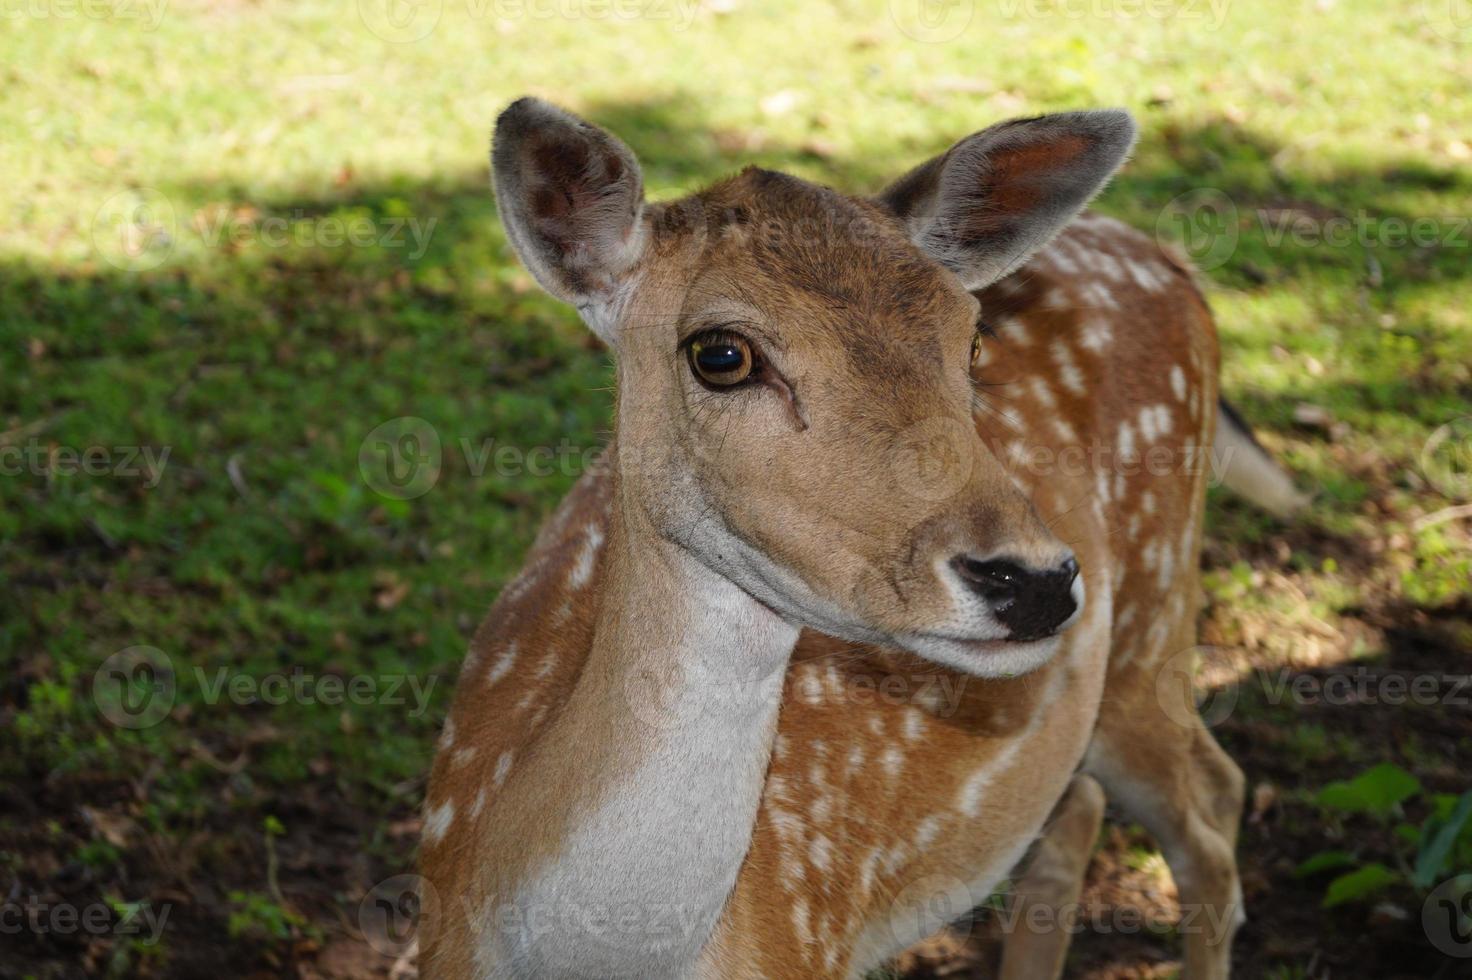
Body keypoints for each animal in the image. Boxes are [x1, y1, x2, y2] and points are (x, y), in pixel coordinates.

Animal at [420, 93, 1307, 977]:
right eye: (720, 353)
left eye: (972, 336)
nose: (1034, 580)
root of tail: (1173, 264)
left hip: (1157, 613)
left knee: (1209, 817)